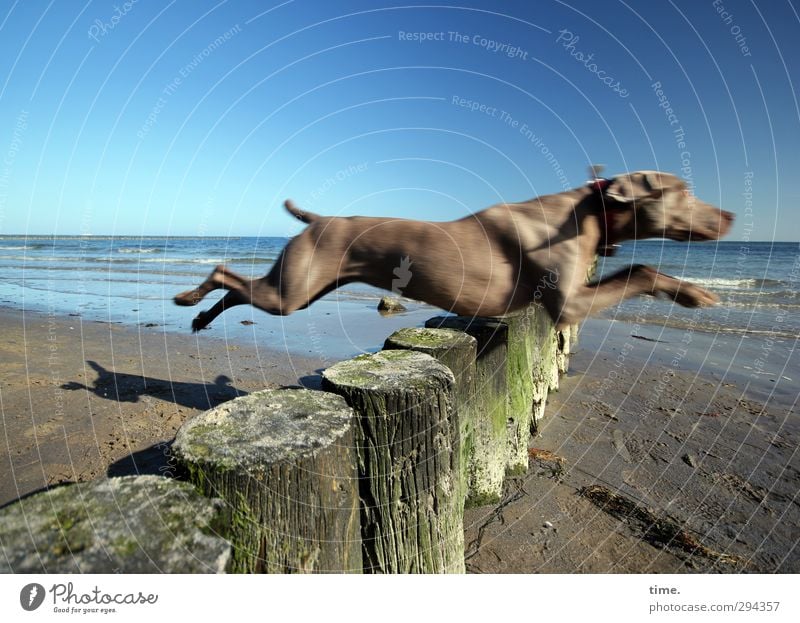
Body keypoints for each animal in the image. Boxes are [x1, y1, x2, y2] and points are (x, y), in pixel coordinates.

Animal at [177, 171, 736, 332]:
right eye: (683, 191)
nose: (730, 216)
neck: (590, 209)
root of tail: (318, 219)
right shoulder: (568, 305)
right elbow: (641, 267)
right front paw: (695, 295)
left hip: (307, 286)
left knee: (239, 287)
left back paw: (200, 317)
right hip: (294, 289)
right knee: (226, 272)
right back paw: (189, 300)